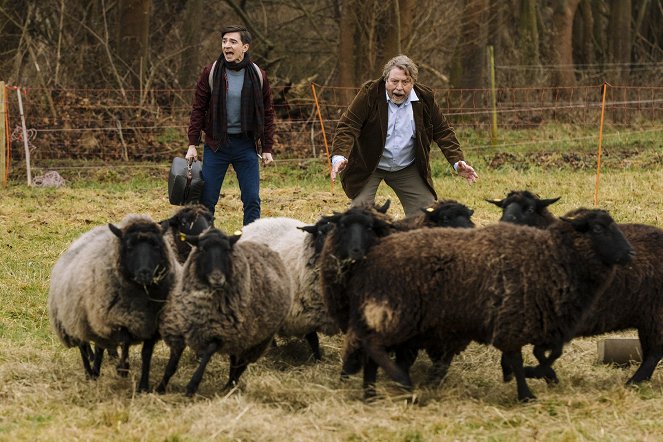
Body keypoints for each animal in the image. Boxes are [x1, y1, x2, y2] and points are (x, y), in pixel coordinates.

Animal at [47, 214, 180, 390]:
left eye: (156, 245)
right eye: (129, 246)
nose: (145, 273)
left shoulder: (151, 325)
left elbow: (146, 355)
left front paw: (143, 386)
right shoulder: (113, 319)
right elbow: (124, 341)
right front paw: (122, 368)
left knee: (99, 347)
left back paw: (96, 371)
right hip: (77, 318)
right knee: (84, 347)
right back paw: (89, 373)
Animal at [157, 228, 292, 398]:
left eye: (227, 249)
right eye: (203, 249)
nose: (217, 278)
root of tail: (267, 248)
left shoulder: (220, 334)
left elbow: (207, 354)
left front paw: (192, 386)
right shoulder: (180, 327)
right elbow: (172, 364)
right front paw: (160, 387)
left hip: (256, 340)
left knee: (242, 364)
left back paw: (231, 385)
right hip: (240, 339)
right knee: (235, 361)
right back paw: (228, 385)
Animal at [340, 210, 636, 400]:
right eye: (597, 228)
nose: (630, 253)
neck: (553, 257)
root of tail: (373, 256)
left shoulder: (539, 321)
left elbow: (550, 353)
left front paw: (539, 374)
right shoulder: (514, 320)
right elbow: (519, 358)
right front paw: (526, 392)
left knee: (371, 350)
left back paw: (371, 392)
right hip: (400, 313)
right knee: (372, 344)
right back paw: (399, 380)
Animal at [490, 190, 663, 386]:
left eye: (530, 209)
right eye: (503, 207)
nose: (502, 227)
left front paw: (540, 374)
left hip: (655, 315)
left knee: (654, 352)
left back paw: (633, 382)